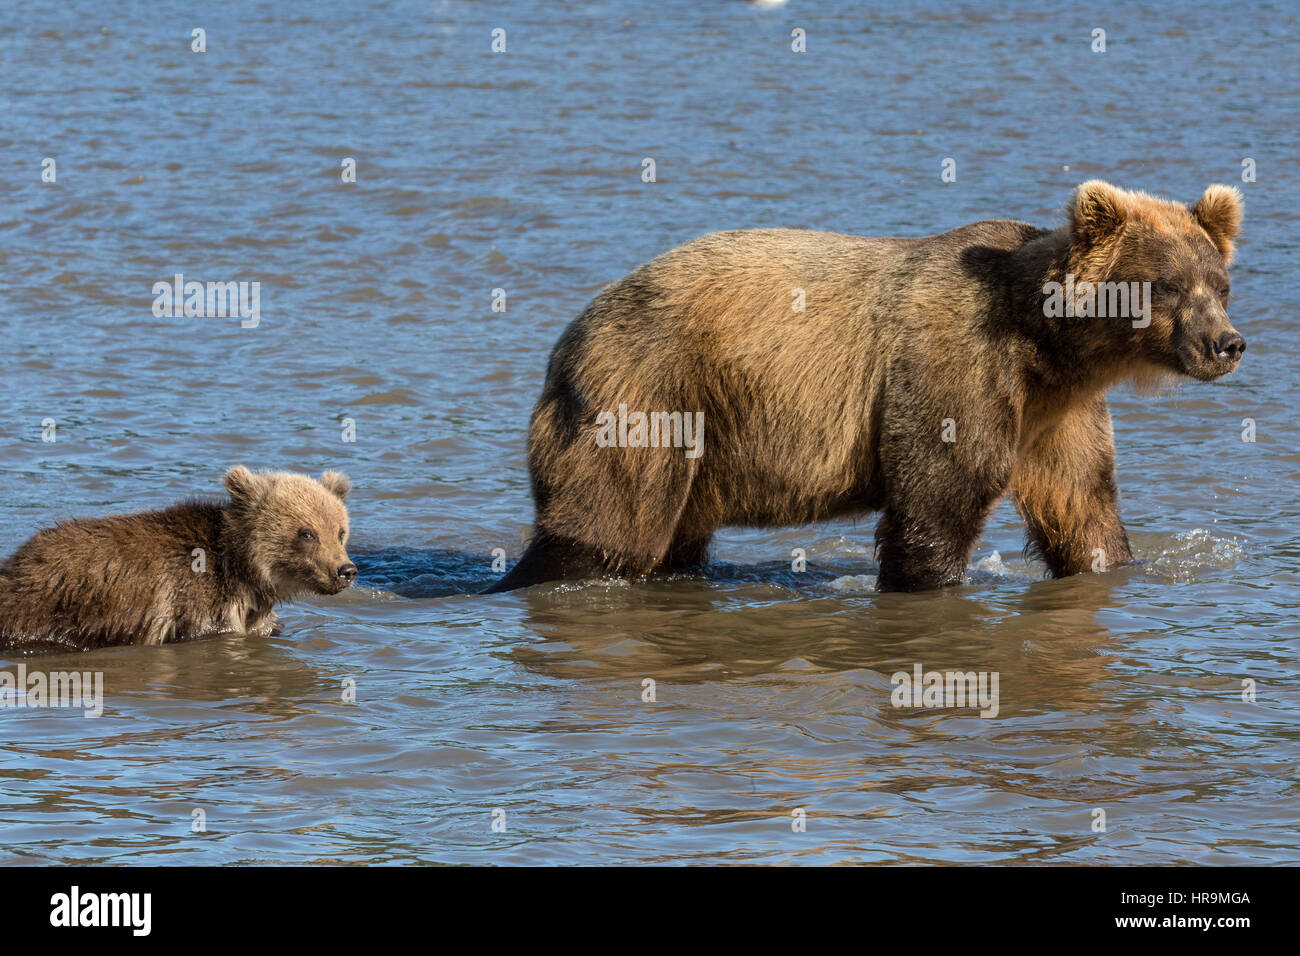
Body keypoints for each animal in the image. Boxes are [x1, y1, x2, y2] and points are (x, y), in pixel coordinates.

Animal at [486, 180, 1237, 590]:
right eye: (1169, 285)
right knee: (606, 530)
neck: (1048, 346)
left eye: (1220, 283)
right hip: (648, 393)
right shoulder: (955, 365)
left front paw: (1111, 562)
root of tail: (574, 329)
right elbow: (938, 500)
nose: (1226, 343)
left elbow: (1083, 507)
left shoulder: (1058, 412)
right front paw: (925, 581)